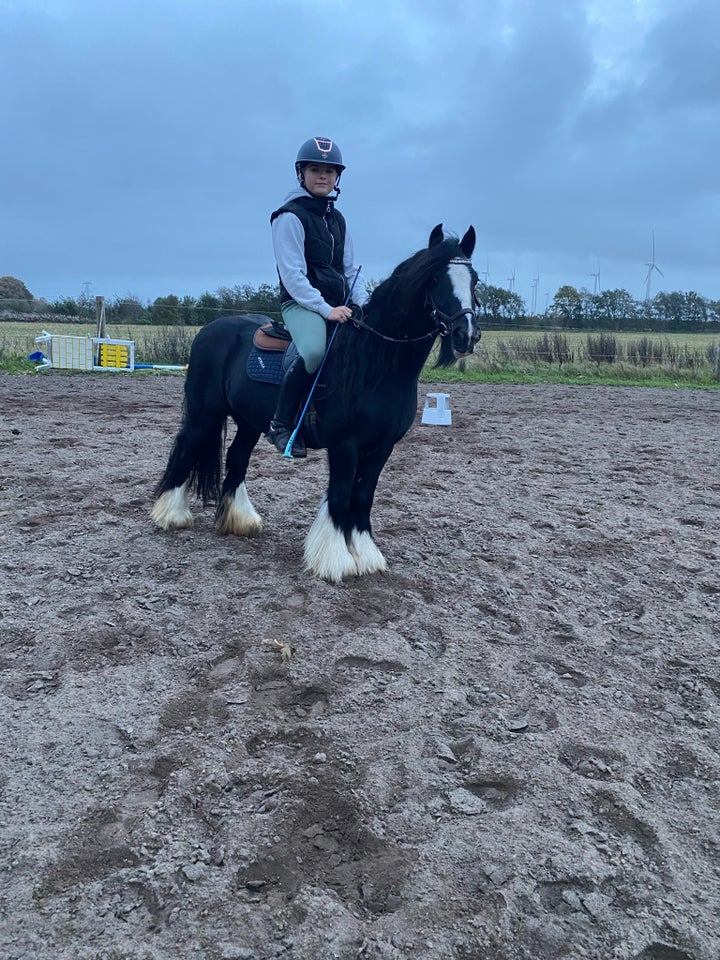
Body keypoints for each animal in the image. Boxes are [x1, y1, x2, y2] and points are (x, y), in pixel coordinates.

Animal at [150, 223, 480, 584]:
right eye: (434, 279)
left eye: (474, 280)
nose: (466, 335)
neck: (374, 363)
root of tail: (209, 329)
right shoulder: (345, 446)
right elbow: (340, 496)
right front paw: (336, 559)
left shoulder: (382, 448)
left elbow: (363, 497)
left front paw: (365, 554)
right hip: (204, 414)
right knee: (185, 449)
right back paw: (171, 515)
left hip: (250, 422)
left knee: (236, 459)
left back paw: (240, 520)